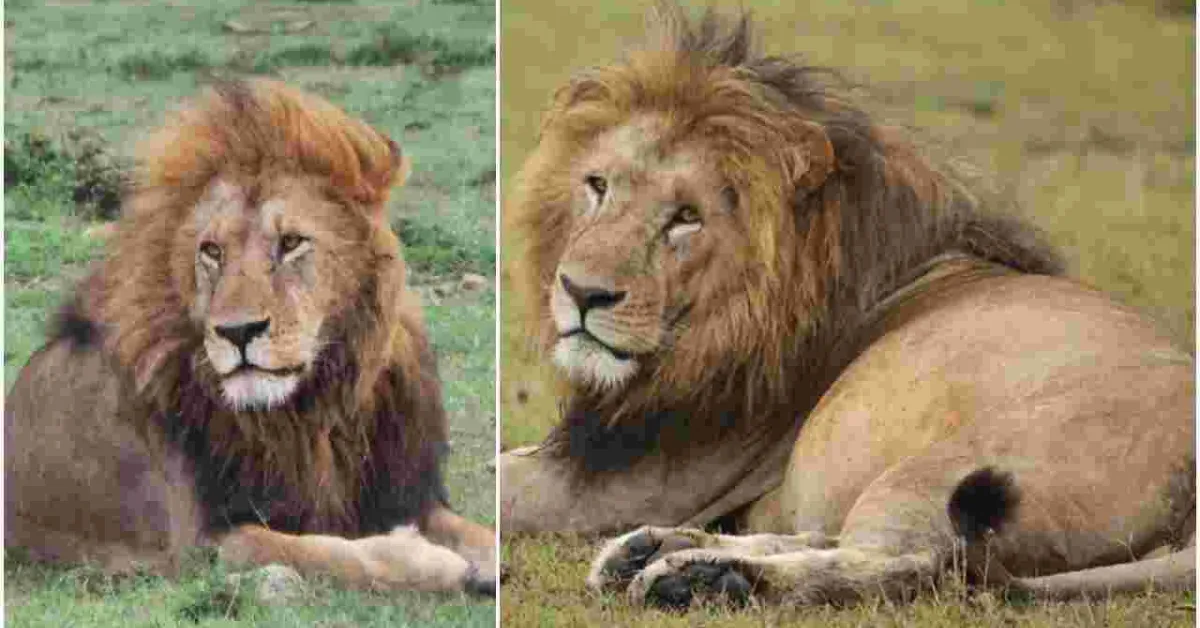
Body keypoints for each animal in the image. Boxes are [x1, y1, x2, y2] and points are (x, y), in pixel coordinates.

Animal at [5, 79, 496, 596]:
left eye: (291, 242)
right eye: (211, 251)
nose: (237, 331)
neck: (314, 412)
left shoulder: (398, 494)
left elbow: (476, 531)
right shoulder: (199, 545)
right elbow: (322, 552)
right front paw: (432, 561)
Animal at [499, 3, 1195, 608]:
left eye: (686, 217)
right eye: (597, 185)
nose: (580, 291)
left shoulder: (623, 483)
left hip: (945, 468)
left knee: (912, 562)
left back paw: (704, 578)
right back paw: (653, 553)